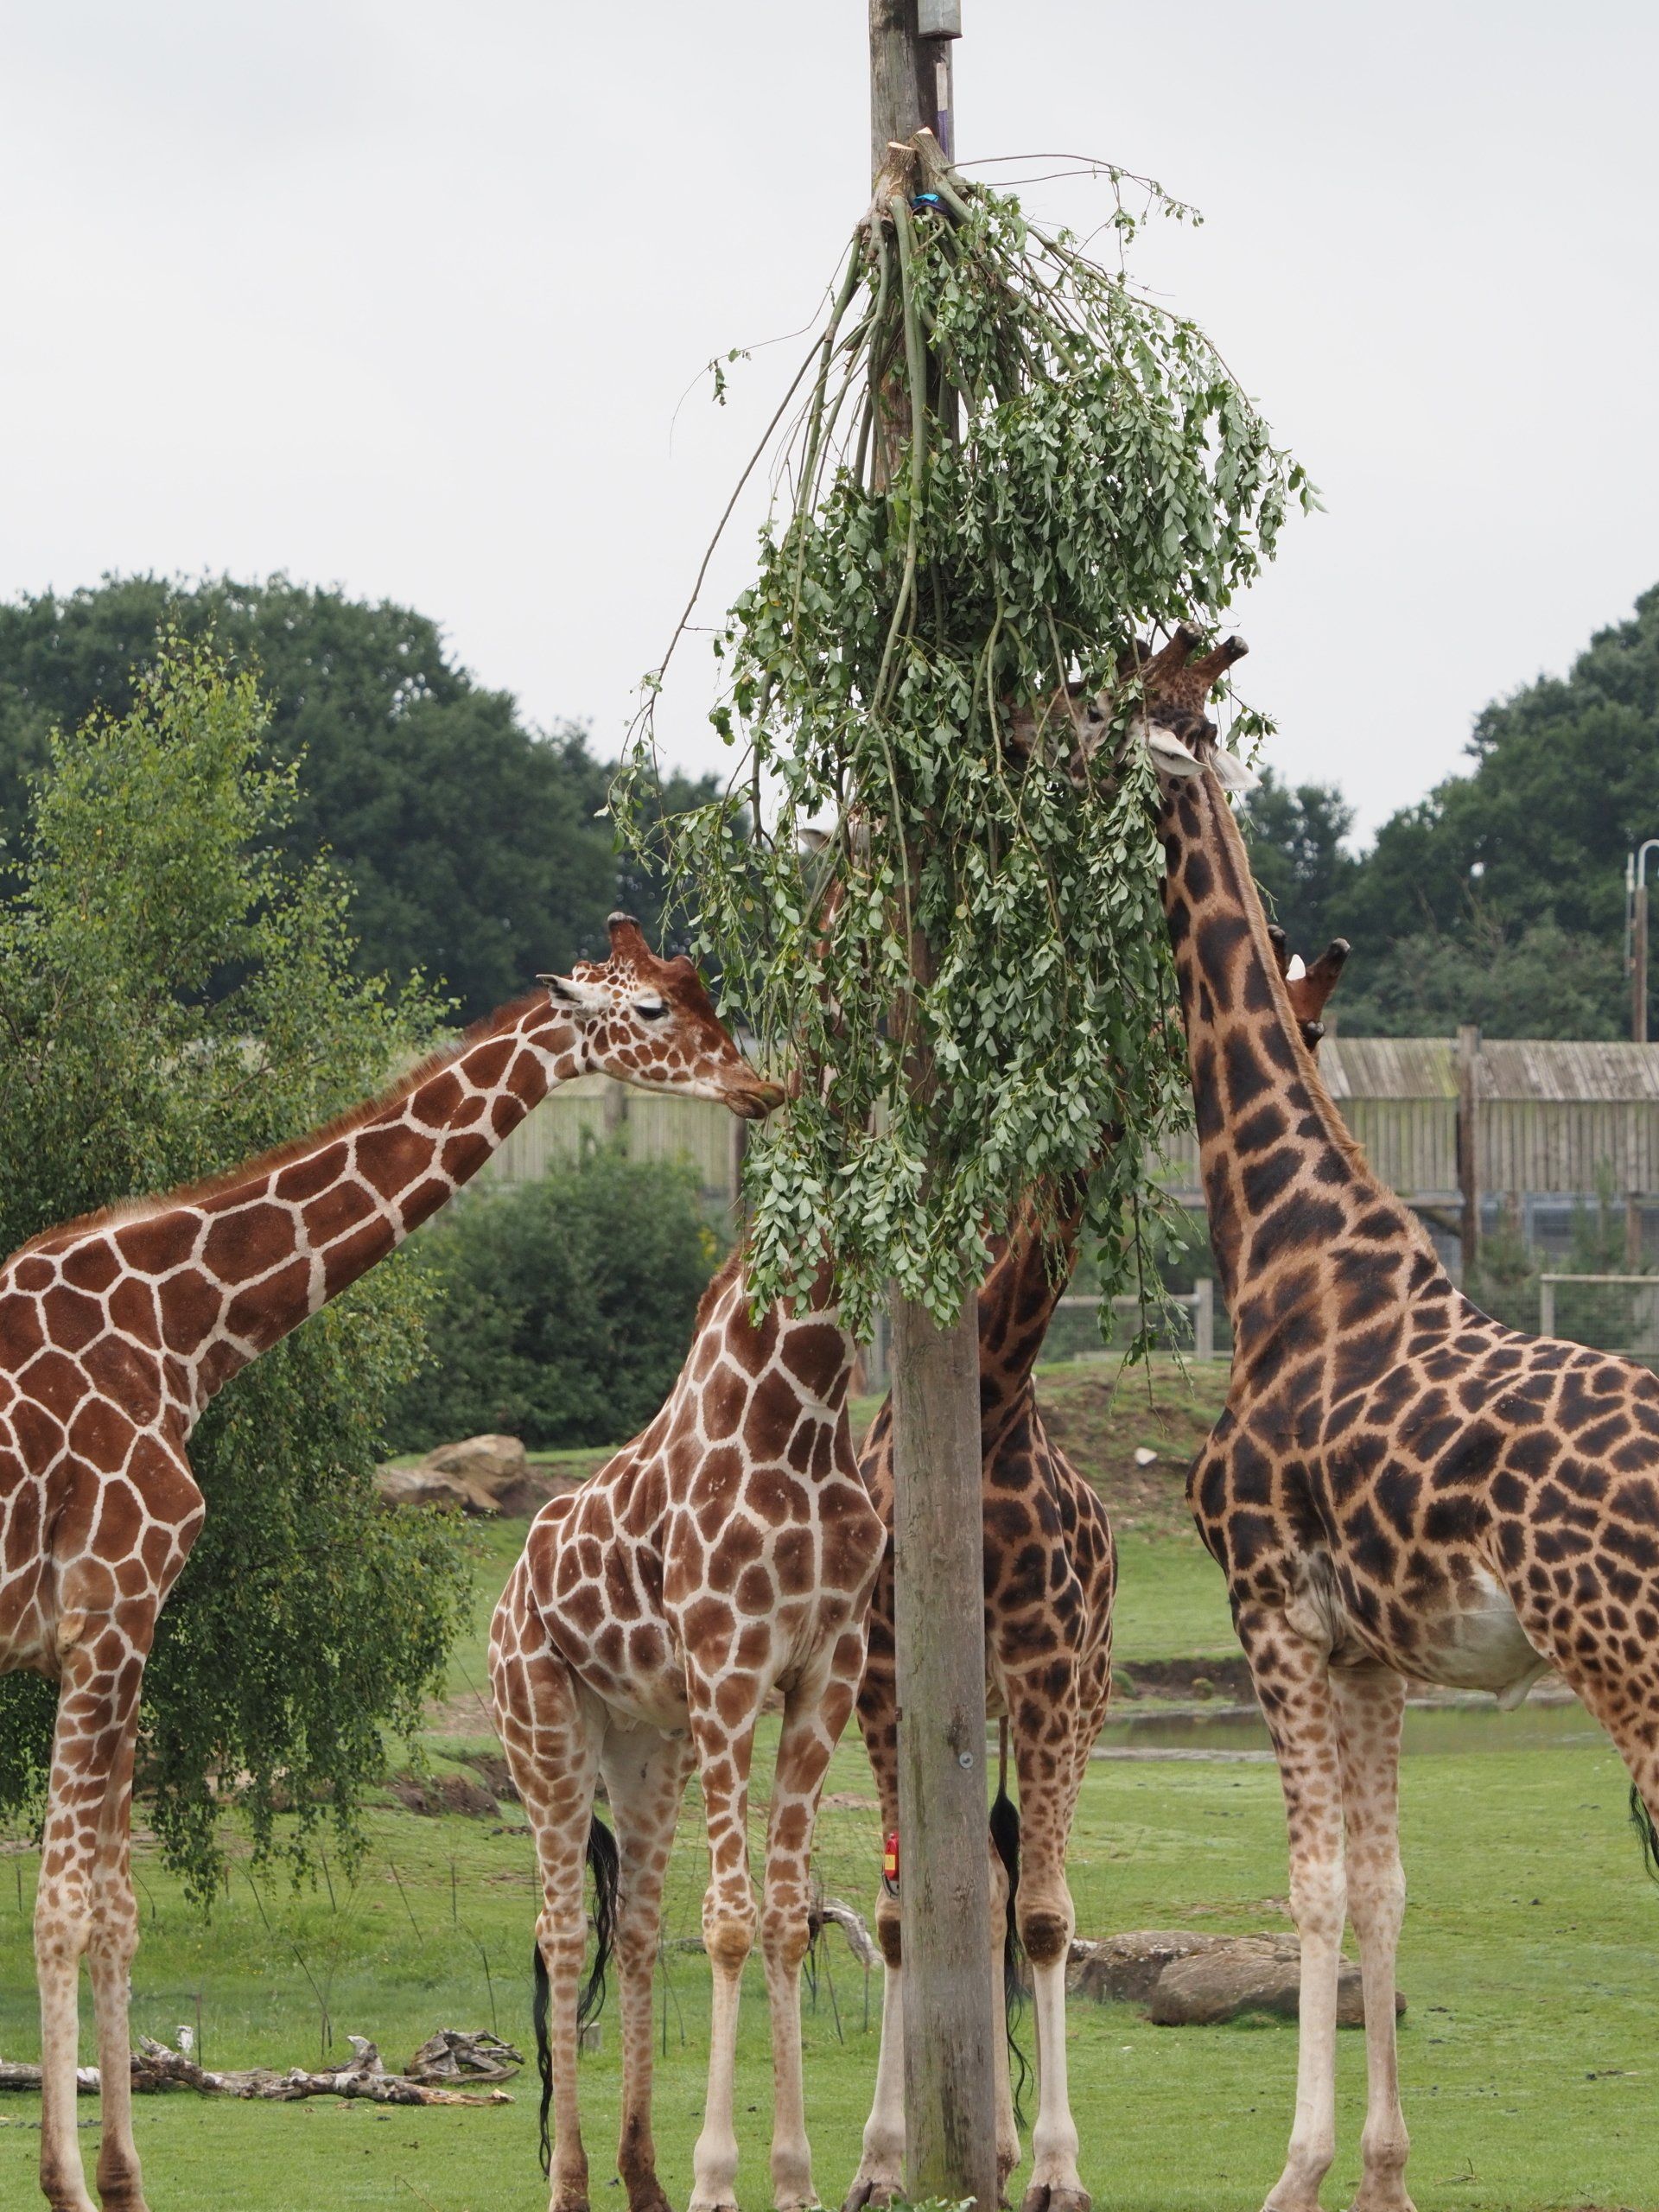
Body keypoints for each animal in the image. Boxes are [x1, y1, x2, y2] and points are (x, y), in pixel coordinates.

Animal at [0, 913, 779, 2212]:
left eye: (703, 988)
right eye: (655, 1011)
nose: (764, 1085)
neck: (182, 1334)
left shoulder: (113, 1626)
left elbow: (114, 1903)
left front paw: (115, 2177)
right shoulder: (110, 1603)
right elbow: (66, 1903)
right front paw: (75, 2181)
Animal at [490, 1240, 885, 2212]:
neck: (805, 1406)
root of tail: (505, 1597)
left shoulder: (831, 1668)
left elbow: (787, 1918)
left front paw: (794, 2181)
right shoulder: (728, 1664)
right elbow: (730, 1921)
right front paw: (719, 2181)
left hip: (647, 1749)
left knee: (632, 1928)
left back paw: (645, 2180)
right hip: (542, 1733)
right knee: (562, 1930)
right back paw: (571, 2185)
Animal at [843, 929, 1348, 2212]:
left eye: (1320, 1022)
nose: (1310, 1104)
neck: (987, 1395)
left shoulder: (1053, 1670)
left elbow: (1048, 1920)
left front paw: (1059, 2170)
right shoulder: (882, 1680)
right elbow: (903, 1915)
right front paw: (877, 2162)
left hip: (1088, 1687)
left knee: (1014, 1892)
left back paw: (1009, 2149)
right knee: (972, 1884)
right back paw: (976, 2146)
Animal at [1135, 621, 1659, 2212]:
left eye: (1112, 699)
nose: (1035, 730)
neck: (1286, 1256)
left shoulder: (1267, 1607)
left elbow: (1308, 1885)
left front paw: (1294, 2170)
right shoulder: (1370, 1645)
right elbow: (1382, 1889)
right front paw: (1382, 2173)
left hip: (1621, 1655)